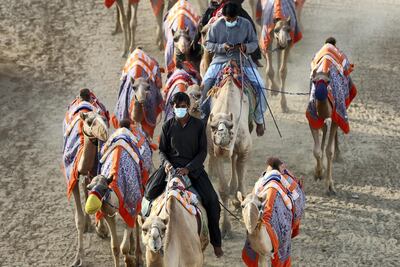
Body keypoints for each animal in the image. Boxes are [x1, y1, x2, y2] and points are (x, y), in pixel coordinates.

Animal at [206, 64, 250, 237]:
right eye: (213, 128)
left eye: (230, 128)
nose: (222, 139)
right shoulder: (216, 154)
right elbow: (223, 190)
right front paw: (225, 228)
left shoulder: (244, 149)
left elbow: (243, 185)